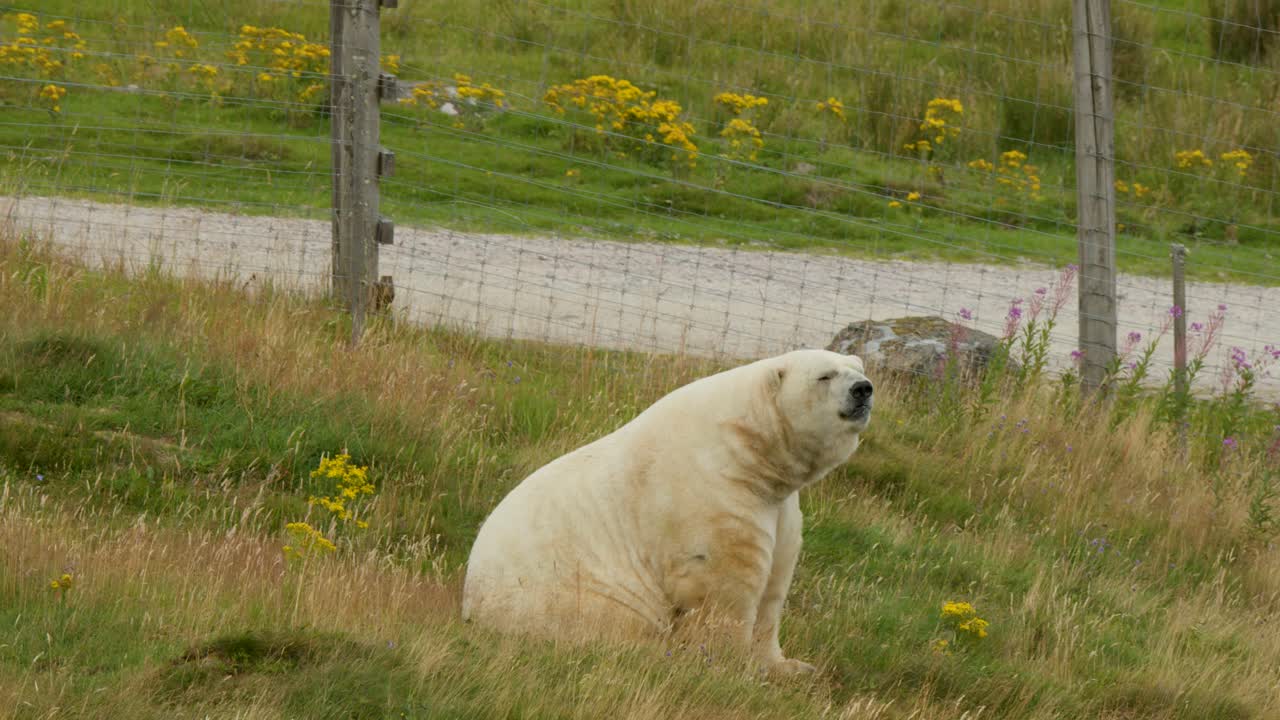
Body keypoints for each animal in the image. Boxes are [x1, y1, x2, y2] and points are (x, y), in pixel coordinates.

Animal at [460, 348, 874, 675]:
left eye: (858, 366)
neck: (746, 450)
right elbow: (723, 588)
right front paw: (729, 666)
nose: (864, 389)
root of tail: (469, 605)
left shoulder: (780, 507)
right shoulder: (712, 493)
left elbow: (774, 586)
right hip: (565, 598)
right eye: (825, 375)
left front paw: (791, 667)